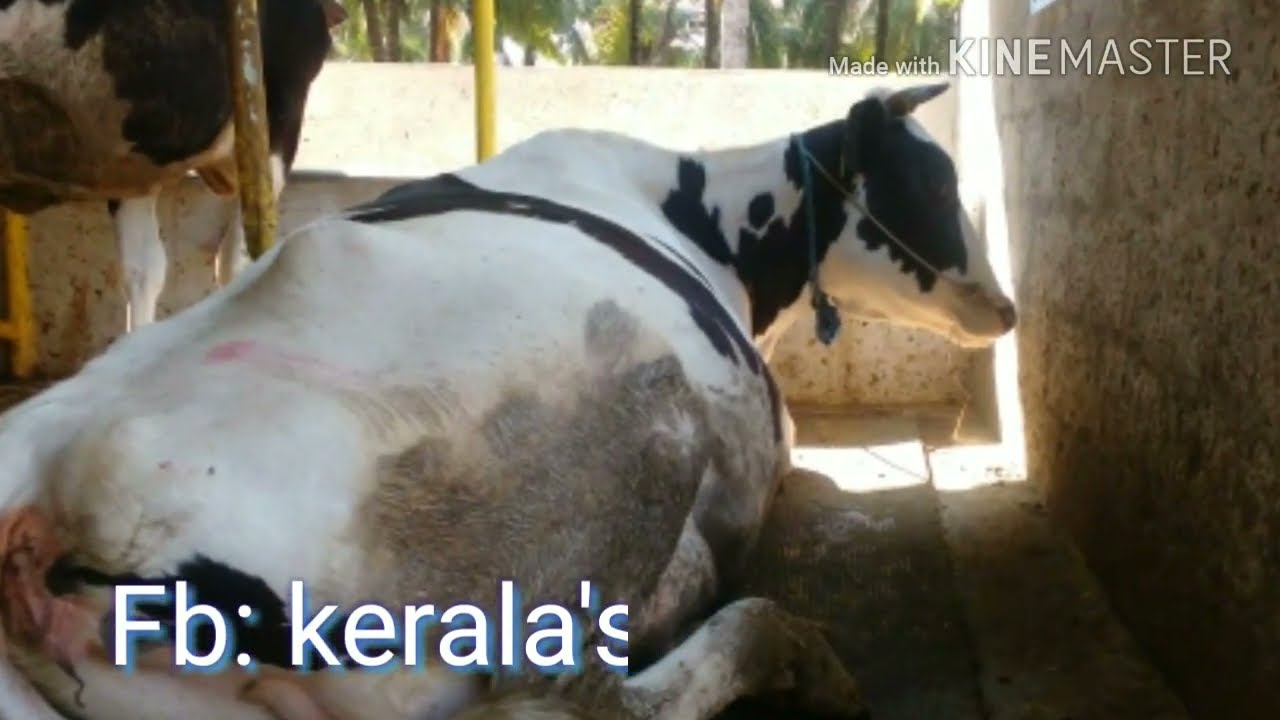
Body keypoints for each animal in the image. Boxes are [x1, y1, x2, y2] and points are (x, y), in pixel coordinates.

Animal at [0, 82, 1015, 720]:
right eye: (933, 182)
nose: (1007, 309)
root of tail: (34, 492)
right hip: (634, 439)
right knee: (576, 700)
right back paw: (784, 647)